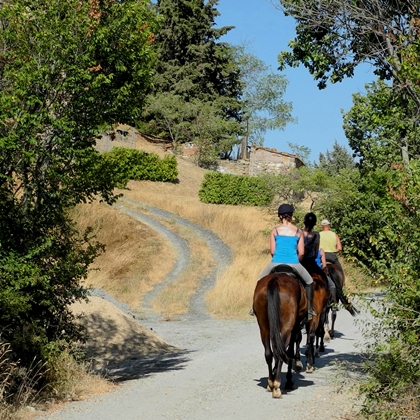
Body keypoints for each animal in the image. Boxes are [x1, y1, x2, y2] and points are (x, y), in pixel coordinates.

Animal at [253, 268, 308, 398]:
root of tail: (275, 280)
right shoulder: (294, 328)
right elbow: (291, 350)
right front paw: (289, 381)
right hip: (287, 327)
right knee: (280, 353)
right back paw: (277, 385)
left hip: (264, 327)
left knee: (269, 353)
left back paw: (270, 383)